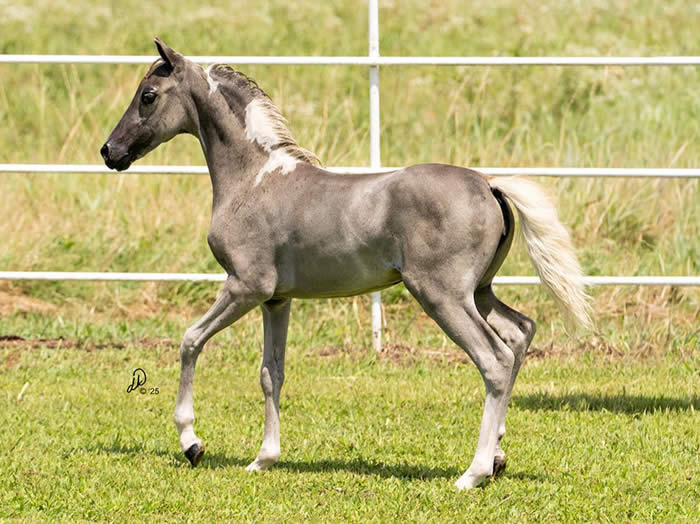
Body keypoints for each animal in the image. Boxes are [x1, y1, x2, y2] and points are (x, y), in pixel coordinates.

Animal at [101, 38, 591, 490]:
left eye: (148, 95)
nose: (110, 151)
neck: (254, 179)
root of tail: (488, 184)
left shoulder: (245, 286)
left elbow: (190, 341)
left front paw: (192, 443)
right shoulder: (276, 300)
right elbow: (271, 372)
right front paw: (263, 459)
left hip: (443, 296)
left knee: (494, 359)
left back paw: (473, 473)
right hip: (479, 292)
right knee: (520, 332)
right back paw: (498, 456)